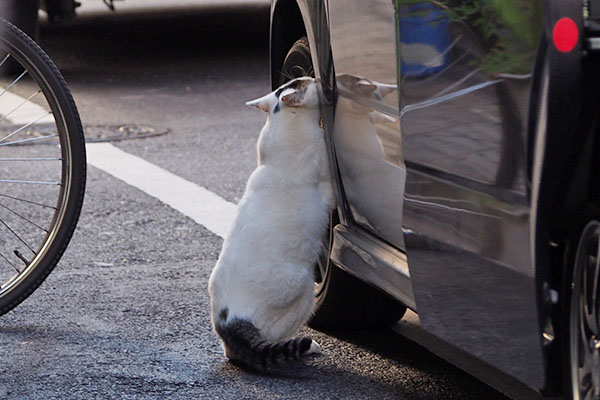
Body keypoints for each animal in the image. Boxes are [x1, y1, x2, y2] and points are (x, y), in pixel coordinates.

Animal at [210, 76, 332, 370]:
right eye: (303, 82)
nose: (314, 77)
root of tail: (230, 322)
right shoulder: (328, 184)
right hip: (304, 288)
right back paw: (308, 348)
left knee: (233, 353)